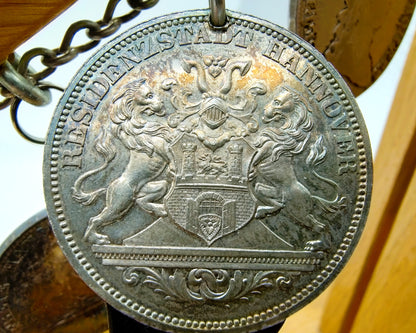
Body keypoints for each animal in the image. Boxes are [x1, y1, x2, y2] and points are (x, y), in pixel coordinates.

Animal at [72, 78, 175, 244]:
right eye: (149, 95)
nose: (161, 102)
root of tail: (108, 187)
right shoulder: (161, 145)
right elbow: (171, 149)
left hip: (153, 187)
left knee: (141, 200)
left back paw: (159, 209)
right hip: (119, 203)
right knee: (95, 219)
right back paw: (97, 239)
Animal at [250, 85, 344, 249]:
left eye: (277, 102)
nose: (265, 109)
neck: (288, 131)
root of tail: (311, 196)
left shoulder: (269, 147)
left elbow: (256, 157)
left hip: (298, 210)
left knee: (321, 226)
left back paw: (316, 245)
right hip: (276, 194)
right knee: (273, 199)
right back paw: (264, 210)